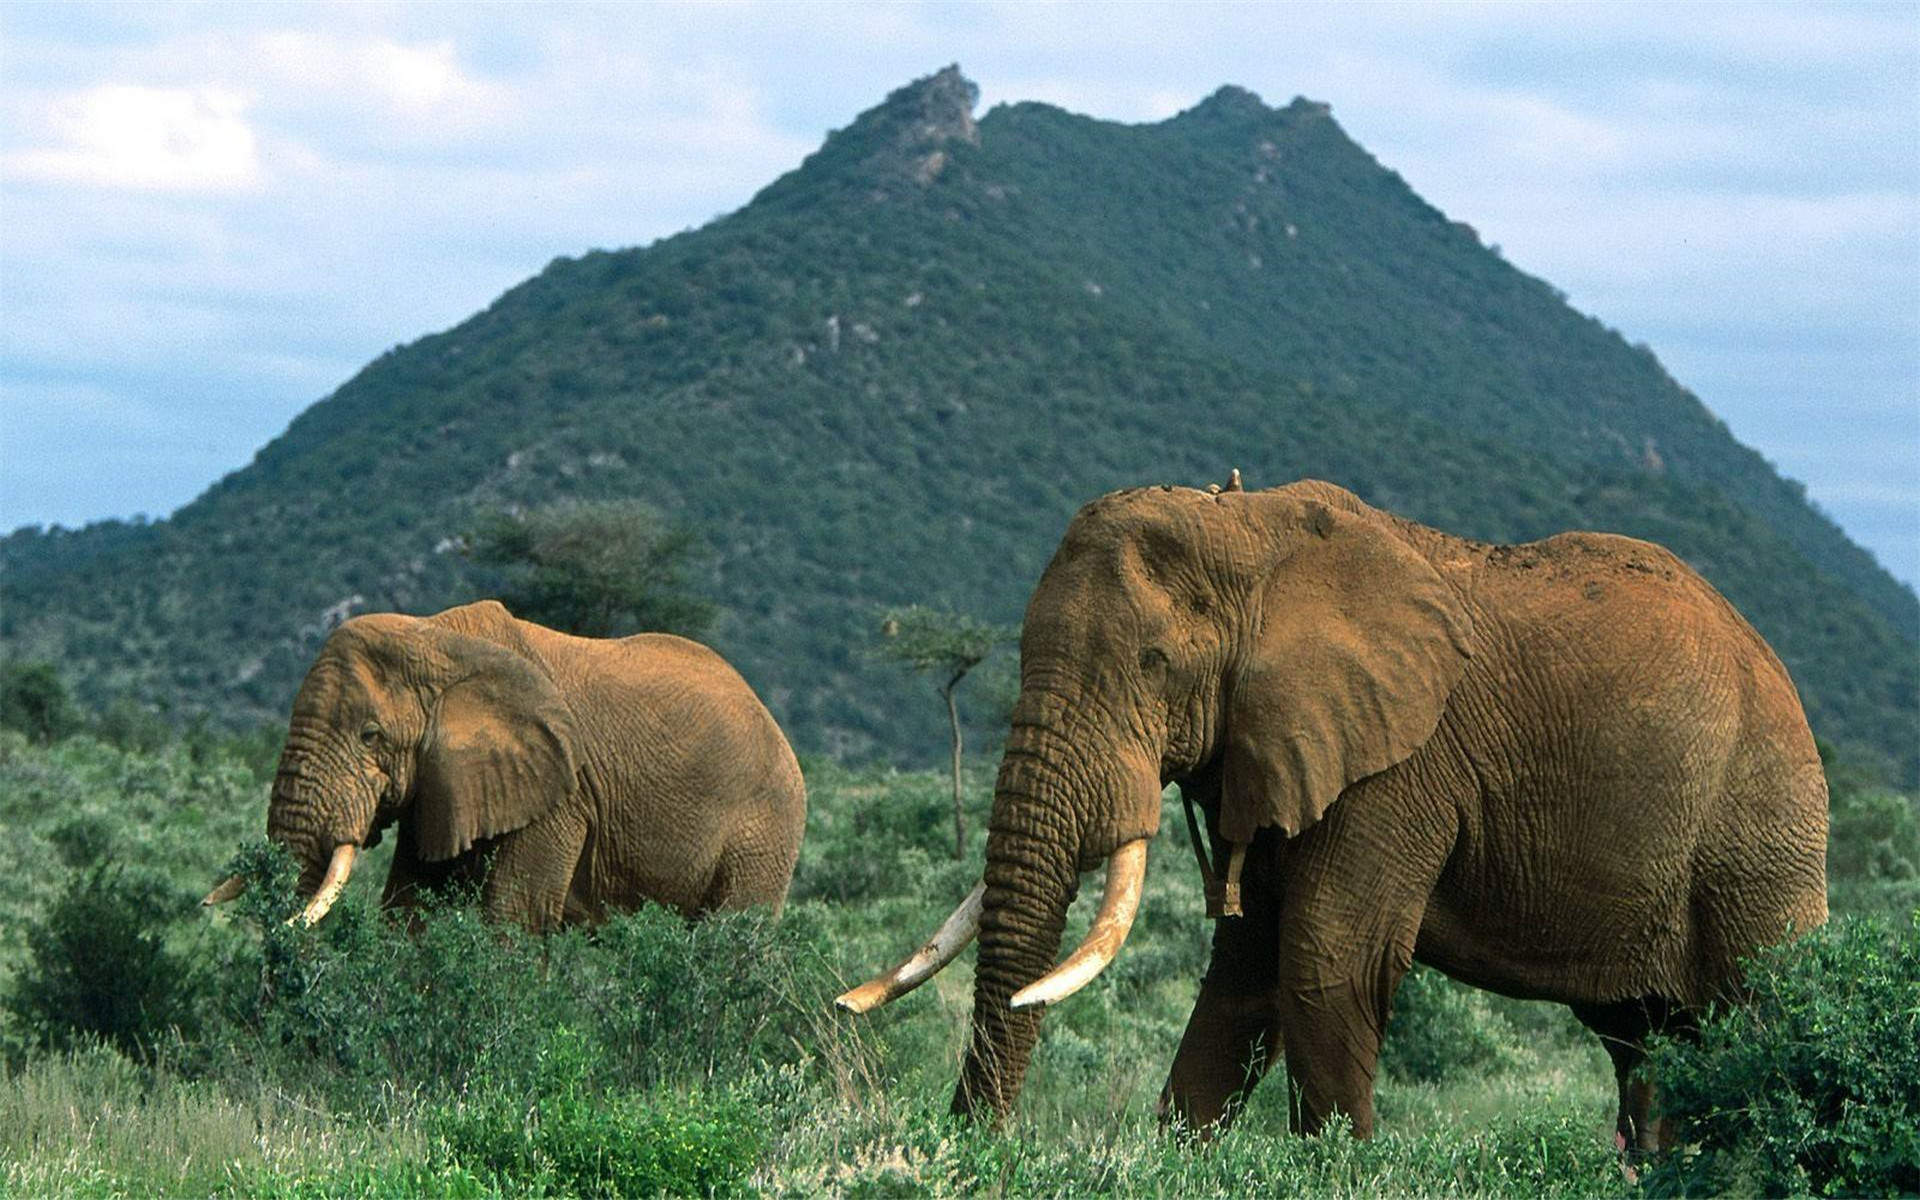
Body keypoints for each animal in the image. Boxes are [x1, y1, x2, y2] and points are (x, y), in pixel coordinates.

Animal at [204, 599, 806, 929]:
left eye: (370, 736)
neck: (437, 640)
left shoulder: (561, 793)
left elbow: (514, 916)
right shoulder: (446, 782)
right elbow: (410, 908)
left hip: (767, 828)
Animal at [840, 475, 1827, 1150]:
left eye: (1155, 664)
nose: (974, 1141)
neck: (1252, 533)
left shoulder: (1399, 765)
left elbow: (1325, 959)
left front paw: (1337, 1167)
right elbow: (1245, 974)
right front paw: (1179, 1156)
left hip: (1760, 825)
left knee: (1761, 1014)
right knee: (1651, 1047)